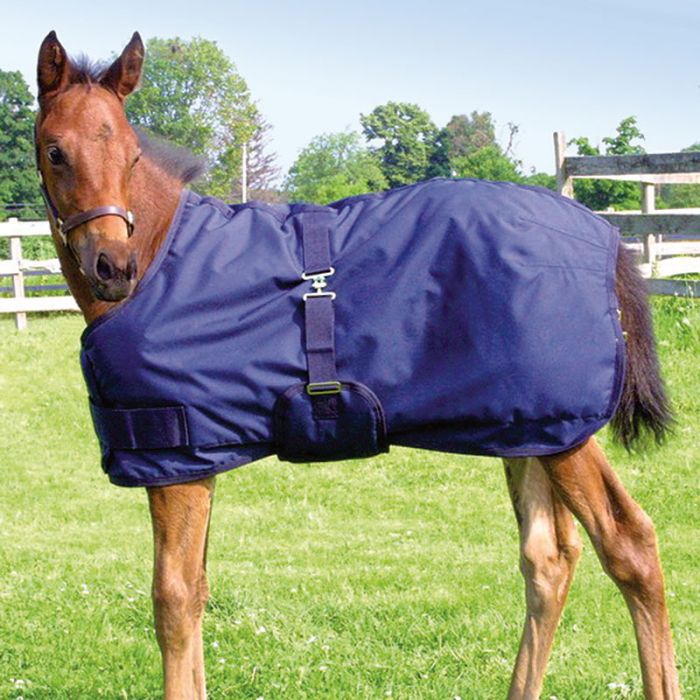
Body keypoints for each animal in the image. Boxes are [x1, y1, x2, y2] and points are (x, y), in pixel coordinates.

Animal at [34, 31, 681, 699]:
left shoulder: (176, 459)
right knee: (549, 558)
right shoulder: (199, 457)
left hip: (564, 432)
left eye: (133, 155)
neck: (166, 254)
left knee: (629, 544)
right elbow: (196, 593)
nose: (113, 266)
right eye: (56, 152)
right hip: (527, 428)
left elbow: (174, 600)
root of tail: (605, 238)